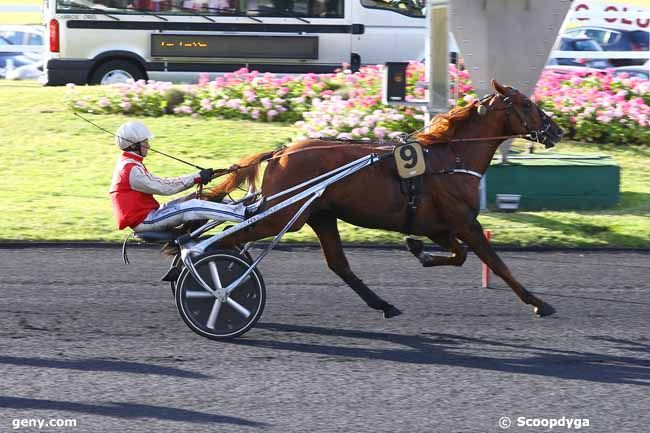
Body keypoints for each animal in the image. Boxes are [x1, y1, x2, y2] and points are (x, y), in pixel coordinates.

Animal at [202, 80, 560, 318]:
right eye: (526, 104)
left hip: (320, 215)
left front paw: (419, 251)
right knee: (223, 238)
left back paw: (384, 305)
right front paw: (539, 303)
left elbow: (458, 255)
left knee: (338, 264)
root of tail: (281, 152)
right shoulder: (465, 222)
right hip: (285, 216)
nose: (555, 130)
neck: (451, 158)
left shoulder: (439, 226)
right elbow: (497, 264)